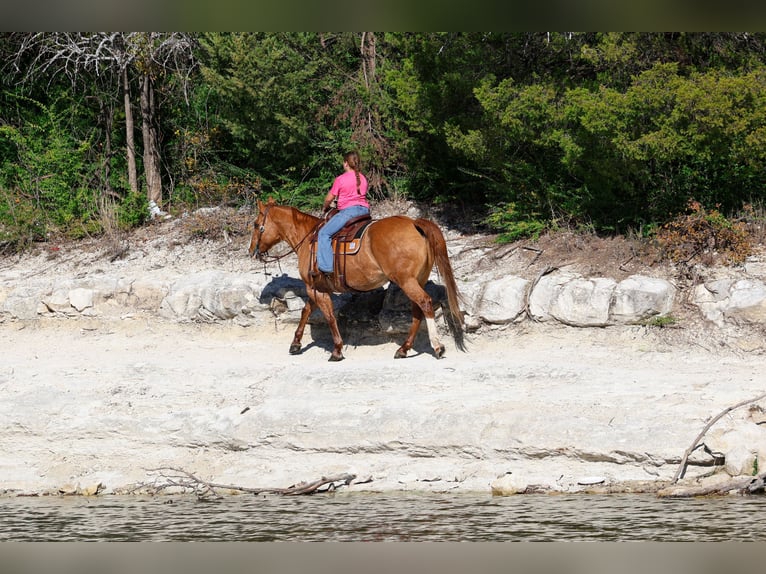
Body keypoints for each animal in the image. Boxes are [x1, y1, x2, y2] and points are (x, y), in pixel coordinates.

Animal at [248, 197, 465, 361]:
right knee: (417, 312)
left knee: (425, 303)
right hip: (416, 280)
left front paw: (337, 350)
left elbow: (329, 316)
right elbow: (306, 312)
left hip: (407, 282)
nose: (251, 251)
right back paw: (404, 348)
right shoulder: (316, 288)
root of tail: (414, 223)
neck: (308, 239)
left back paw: (436, 346)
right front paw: (296, 343)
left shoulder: (315, 288)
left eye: (257, 225)